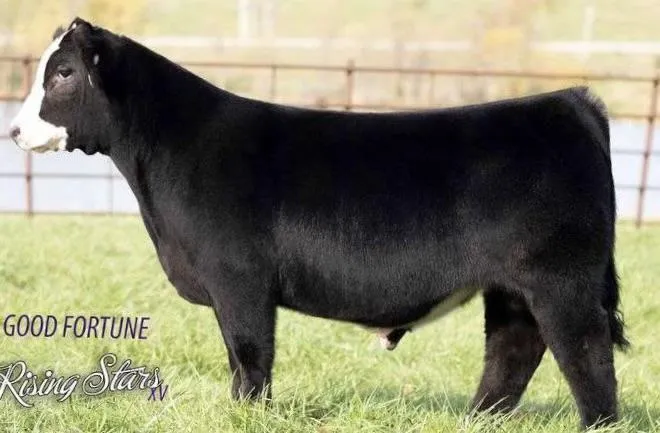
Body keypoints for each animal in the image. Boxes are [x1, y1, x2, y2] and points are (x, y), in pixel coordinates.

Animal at [9, 18, 628, 429]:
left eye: (63, 73)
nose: (14, 131)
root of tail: (570, 102)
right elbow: (239, 356)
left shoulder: (240, 281)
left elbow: (250, 356)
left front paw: (248, 415)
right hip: (513, 288)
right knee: (513, 350)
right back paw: (477, 419)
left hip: (561, 280)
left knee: (585, 354)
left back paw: (595, 422)